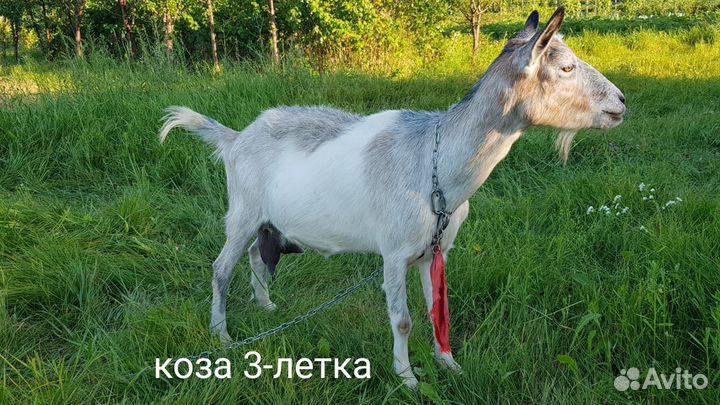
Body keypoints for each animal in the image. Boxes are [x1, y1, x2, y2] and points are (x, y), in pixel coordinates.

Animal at [159, 7, 625, 389]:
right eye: (566, 66)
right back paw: (222, 334)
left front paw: (448, 364)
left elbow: (437, 306)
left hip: (267, 219)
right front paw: (407, 378)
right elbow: (402, 320)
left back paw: (265, 304)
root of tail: (235, 138)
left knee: (258, 254)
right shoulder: (395, 252)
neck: (435, 164)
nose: (621, 102)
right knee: (222, 267)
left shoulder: (436, 250)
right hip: (242, 211)